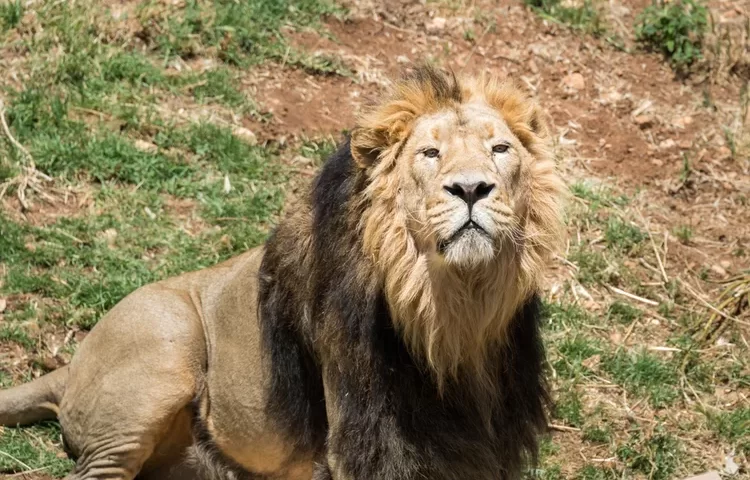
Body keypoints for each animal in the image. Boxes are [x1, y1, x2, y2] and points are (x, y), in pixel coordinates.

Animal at [0, 66, 564, 480]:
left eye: (500, 149)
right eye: (430, 153)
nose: (471, 188)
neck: (452, 313)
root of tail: (72, 366)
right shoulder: (363, 433)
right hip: (165, 341)